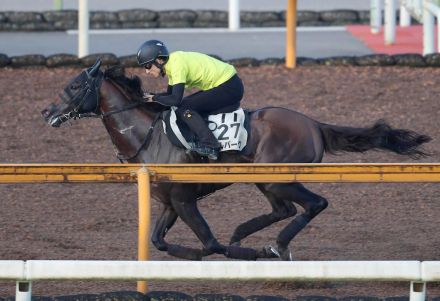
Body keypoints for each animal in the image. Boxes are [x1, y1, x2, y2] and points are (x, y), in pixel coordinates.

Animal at [39, 59, 432, 260]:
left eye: (75, 86)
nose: (46, 111)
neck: (148, 134)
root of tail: (313, 124)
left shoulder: (184, 199)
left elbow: (210, 243)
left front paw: (229, 252)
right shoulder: (170, 201)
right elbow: (158, 241)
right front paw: (193, 253)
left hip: (276, 176)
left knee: (314, 204)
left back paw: (273, 246)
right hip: (265, 178)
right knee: (283, 209)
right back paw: (249, 234)